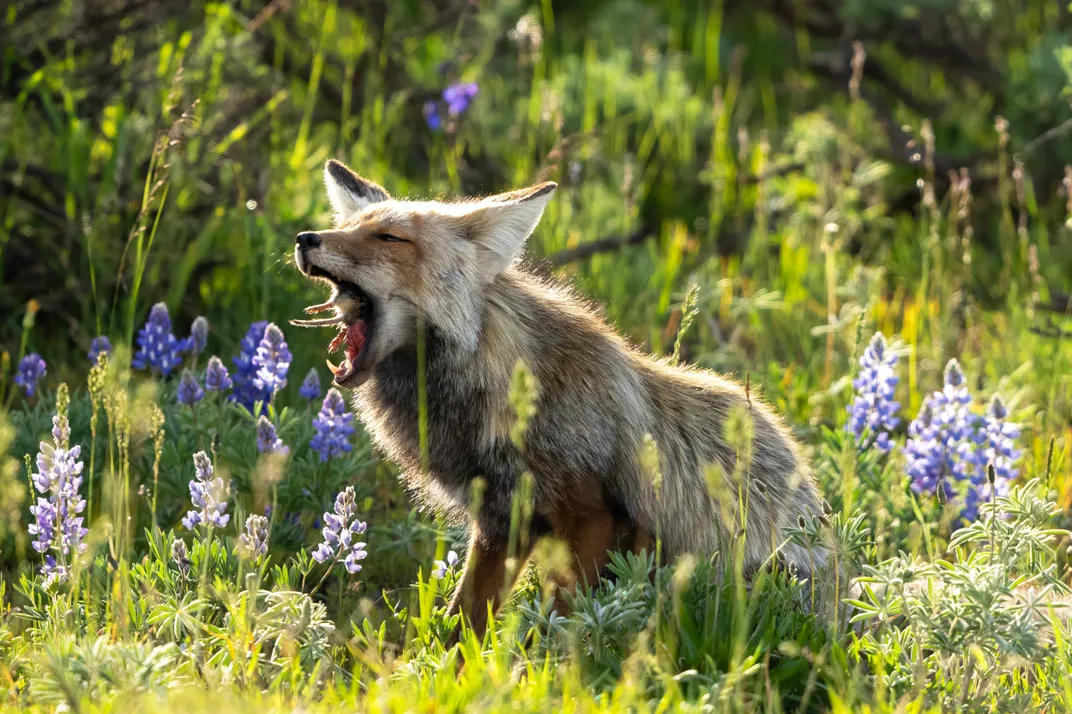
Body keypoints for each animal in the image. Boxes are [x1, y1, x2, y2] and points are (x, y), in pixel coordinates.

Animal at [293, 158, 827, 634]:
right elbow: (465, 624)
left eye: (389, 238)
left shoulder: (591, 515)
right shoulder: (502, 520)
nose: (304, 239)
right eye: (349, 227)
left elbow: (556, 624)